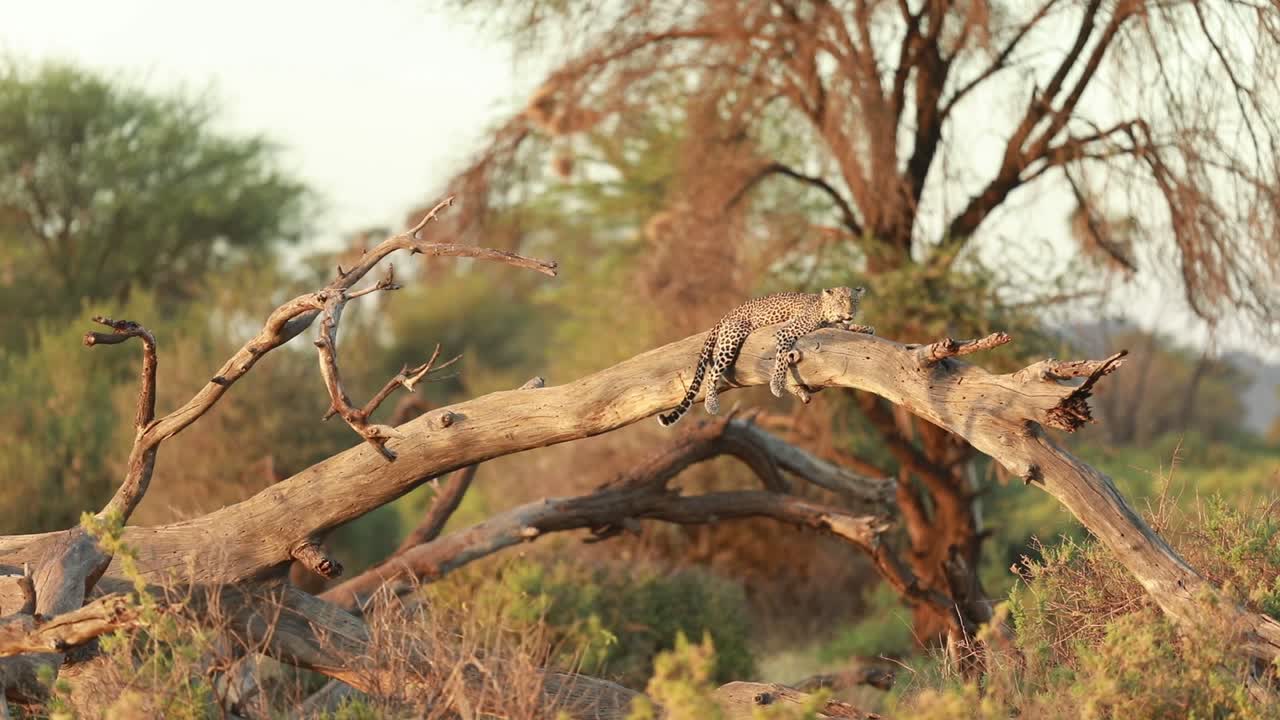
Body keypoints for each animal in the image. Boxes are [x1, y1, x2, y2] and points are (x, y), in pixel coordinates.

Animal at [657, 286, 873, 427]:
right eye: (841, 301)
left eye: (854, 301)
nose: (850, 312)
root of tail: (728, 313)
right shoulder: (786, 331)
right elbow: (781, 358)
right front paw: (776, 385)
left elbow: (845, 327)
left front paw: (863, 327)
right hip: (732, 337)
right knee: (713, 372)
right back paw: (712, 404)